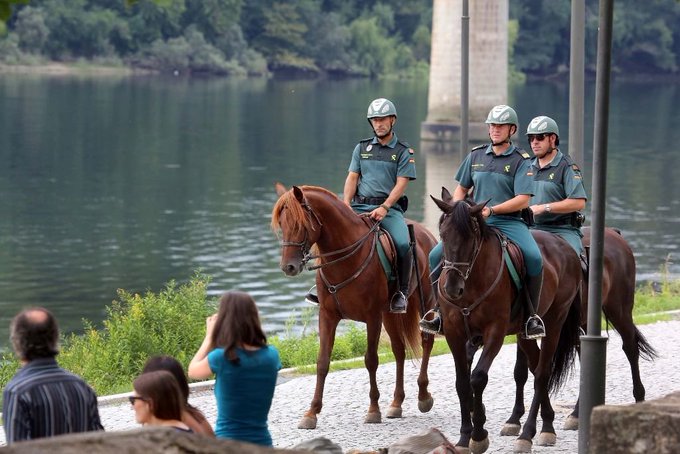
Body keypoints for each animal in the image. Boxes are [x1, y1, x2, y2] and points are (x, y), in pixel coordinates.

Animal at [270, 184, 436, 430]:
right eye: (282, 224)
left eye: (299, 225)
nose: (288, 267)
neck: (345, 258)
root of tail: (428, 234)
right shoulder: (327, 316)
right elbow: (322, 361)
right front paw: (311, 412)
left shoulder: (373, 317)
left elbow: (371, 360)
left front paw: (373, 410)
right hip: (390, 313)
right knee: (398, 350)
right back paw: (396, 403)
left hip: (425, 303)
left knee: (426, 341)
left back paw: (423, 396)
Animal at [432, 186, 580, 452]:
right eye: (443, 234)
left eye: (471, 237)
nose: (452, 288)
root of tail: (565, 246)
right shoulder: (454, 332)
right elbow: (462, 383)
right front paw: (464, 437)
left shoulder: (495, 332)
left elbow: (478, 378)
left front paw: (479, 435)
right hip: (524, 333)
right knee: (535, 367)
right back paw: (547, 424)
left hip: (555, 322)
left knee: (542, 373)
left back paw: (529, 434)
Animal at [502, 227, 656, 436]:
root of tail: (614, 233)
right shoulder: (524, 329)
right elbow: (521, 371)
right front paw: (514, 418)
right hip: (584, 322)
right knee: (585, 355)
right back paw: (576, 414)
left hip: (619, 309)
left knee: (631, 348)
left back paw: (639, 398)